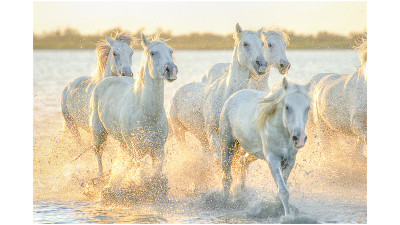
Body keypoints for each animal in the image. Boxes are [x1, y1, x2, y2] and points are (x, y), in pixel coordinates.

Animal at [91, 33, 179, 178]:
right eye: (152, 53)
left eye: (170, 51)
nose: (171, 70)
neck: (147, 113)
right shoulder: (135, 152)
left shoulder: (158, 152)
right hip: (98, 132)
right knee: (98, 152)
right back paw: (100, 175)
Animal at [167, 23, 268, 159]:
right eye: (245, 43)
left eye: (262, 44)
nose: (262, 64)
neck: (226, 96)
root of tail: (176, 94)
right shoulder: (213, 135)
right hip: (179, 131)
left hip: (202, 138)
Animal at [220, 78, 310, 216]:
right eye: (287, 106)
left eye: (308, 107)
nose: (299, 139)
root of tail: (233, 96)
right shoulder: (273, 159)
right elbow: (283, 190)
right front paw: (288, 216)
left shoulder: (289, 161)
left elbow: (282, 187)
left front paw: (281, 210)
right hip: (227, 146)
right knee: (226, 176)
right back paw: (225, 201)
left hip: (253, 152)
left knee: (243, 162)